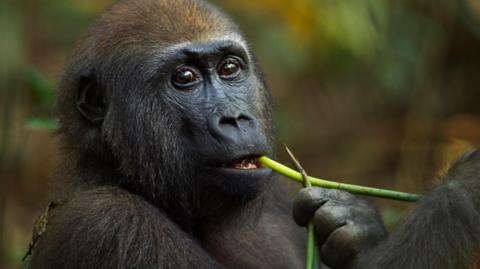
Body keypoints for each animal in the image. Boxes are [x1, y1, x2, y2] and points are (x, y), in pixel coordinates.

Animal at [29, 0, 480, 268]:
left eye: (229, 68)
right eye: (185, 78)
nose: (236, 118)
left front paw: (355, 224)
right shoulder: (107, 223)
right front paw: (462, 192)